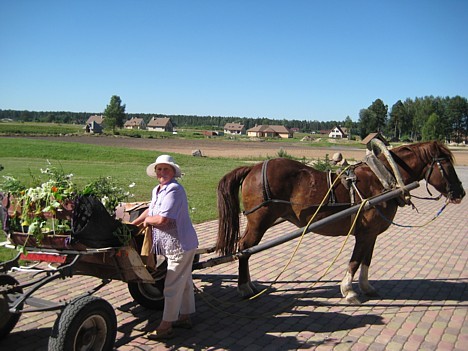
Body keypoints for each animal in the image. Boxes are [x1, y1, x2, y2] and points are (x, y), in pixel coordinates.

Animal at [216, 142, 464, 304]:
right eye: (446, 165)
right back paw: (244, 287)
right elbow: (354, 261)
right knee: (244, 248)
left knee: (245, 249)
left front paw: (366, 287)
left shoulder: (371, 234)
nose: (461, 193)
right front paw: (349, 291)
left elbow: (366, 260)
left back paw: (249, 284)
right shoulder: (364, 234)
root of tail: (253, 168)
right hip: (259, 222)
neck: (382, 180)